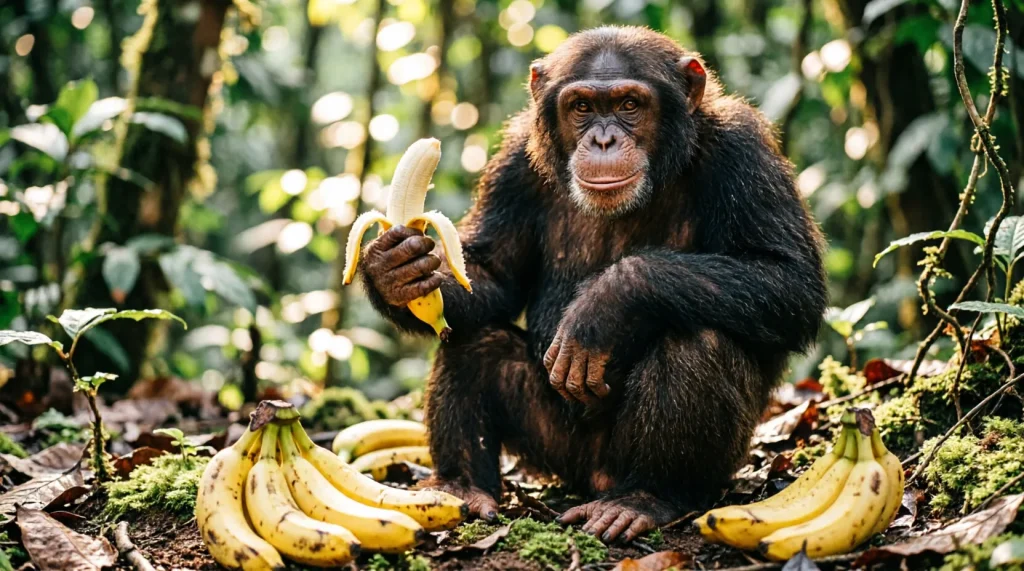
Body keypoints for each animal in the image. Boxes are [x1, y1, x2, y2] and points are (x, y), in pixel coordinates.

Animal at [357, 26, 827, 542]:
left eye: (629, 104)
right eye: (581, 107)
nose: (604, 139)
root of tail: (597, 479)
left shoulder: (744, 151)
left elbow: (788, 278)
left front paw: (607, 303)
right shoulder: (514, 161)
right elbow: (494, 272)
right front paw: (393, 271)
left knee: (698, 341)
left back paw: (645, 498)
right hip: (559, 450)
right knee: (473, 341)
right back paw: (461, 486)